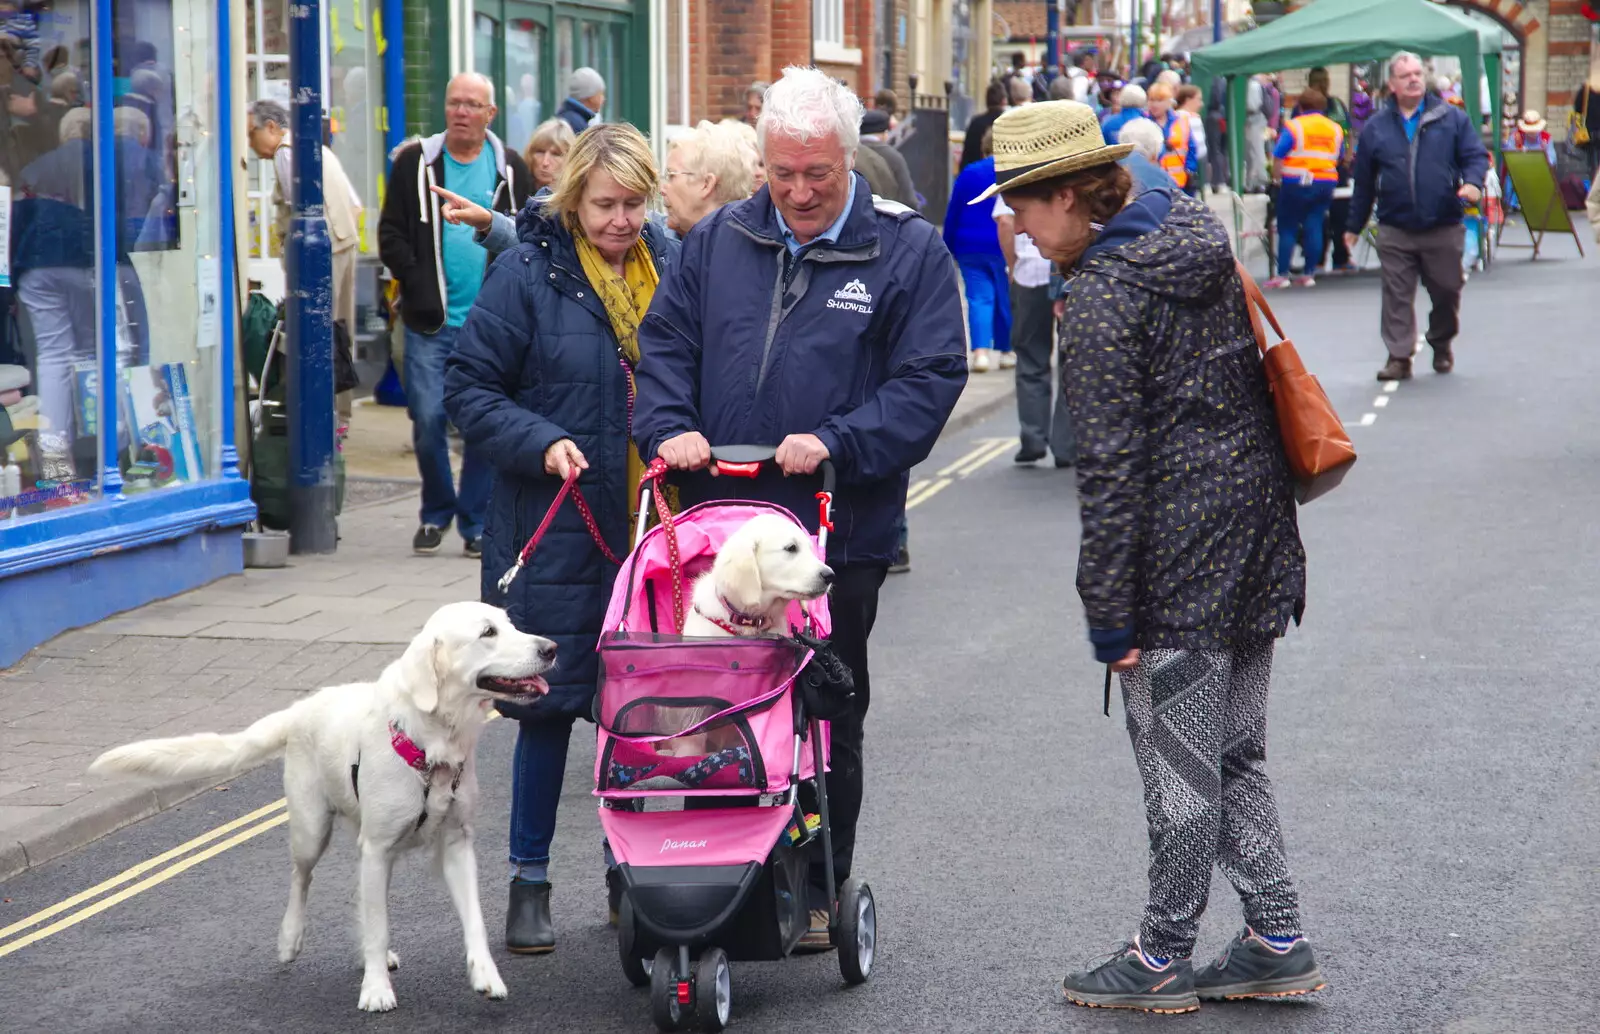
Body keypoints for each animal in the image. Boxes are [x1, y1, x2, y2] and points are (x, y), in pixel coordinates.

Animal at [93, 605, 560, 1017]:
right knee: (301, 879)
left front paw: (486, 975)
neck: (433, 742)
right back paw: (291, 938)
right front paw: (375, 990)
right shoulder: (378, 846)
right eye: (487, 633)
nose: (551, 647)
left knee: (357, 895)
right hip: (311, 829)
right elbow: (378, 923)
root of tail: (301, 707)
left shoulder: (457, 843)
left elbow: (473, 919)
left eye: (510, 624)